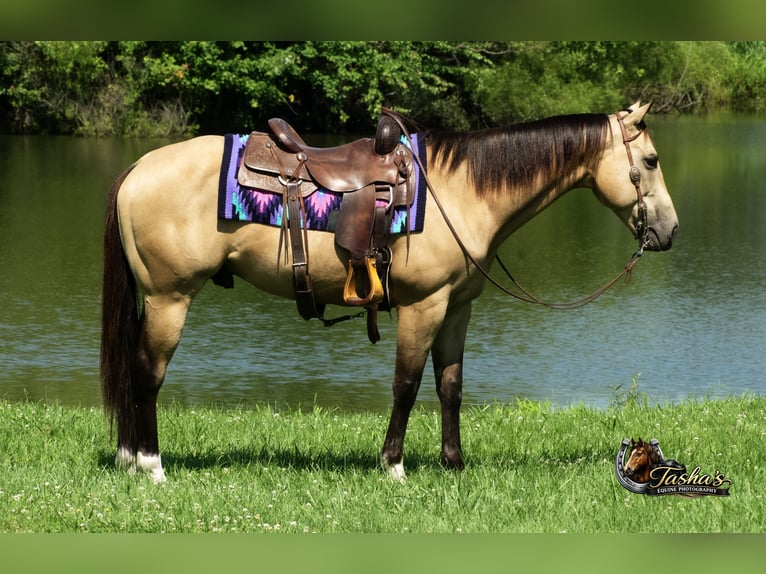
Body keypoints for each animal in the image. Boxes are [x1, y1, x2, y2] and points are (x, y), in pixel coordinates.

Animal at [100, 101, 678, 482]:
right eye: (651, 161)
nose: (669, 231)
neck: (461, 192)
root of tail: (139, 166)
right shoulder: (424, 306)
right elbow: (406, 384)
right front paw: (394, 466)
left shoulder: (457, 308)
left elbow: (450, 386)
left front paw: (453, 464)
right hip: (169, 299)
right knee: (147, 374)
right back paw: (151, 466)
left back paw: (129, 459)